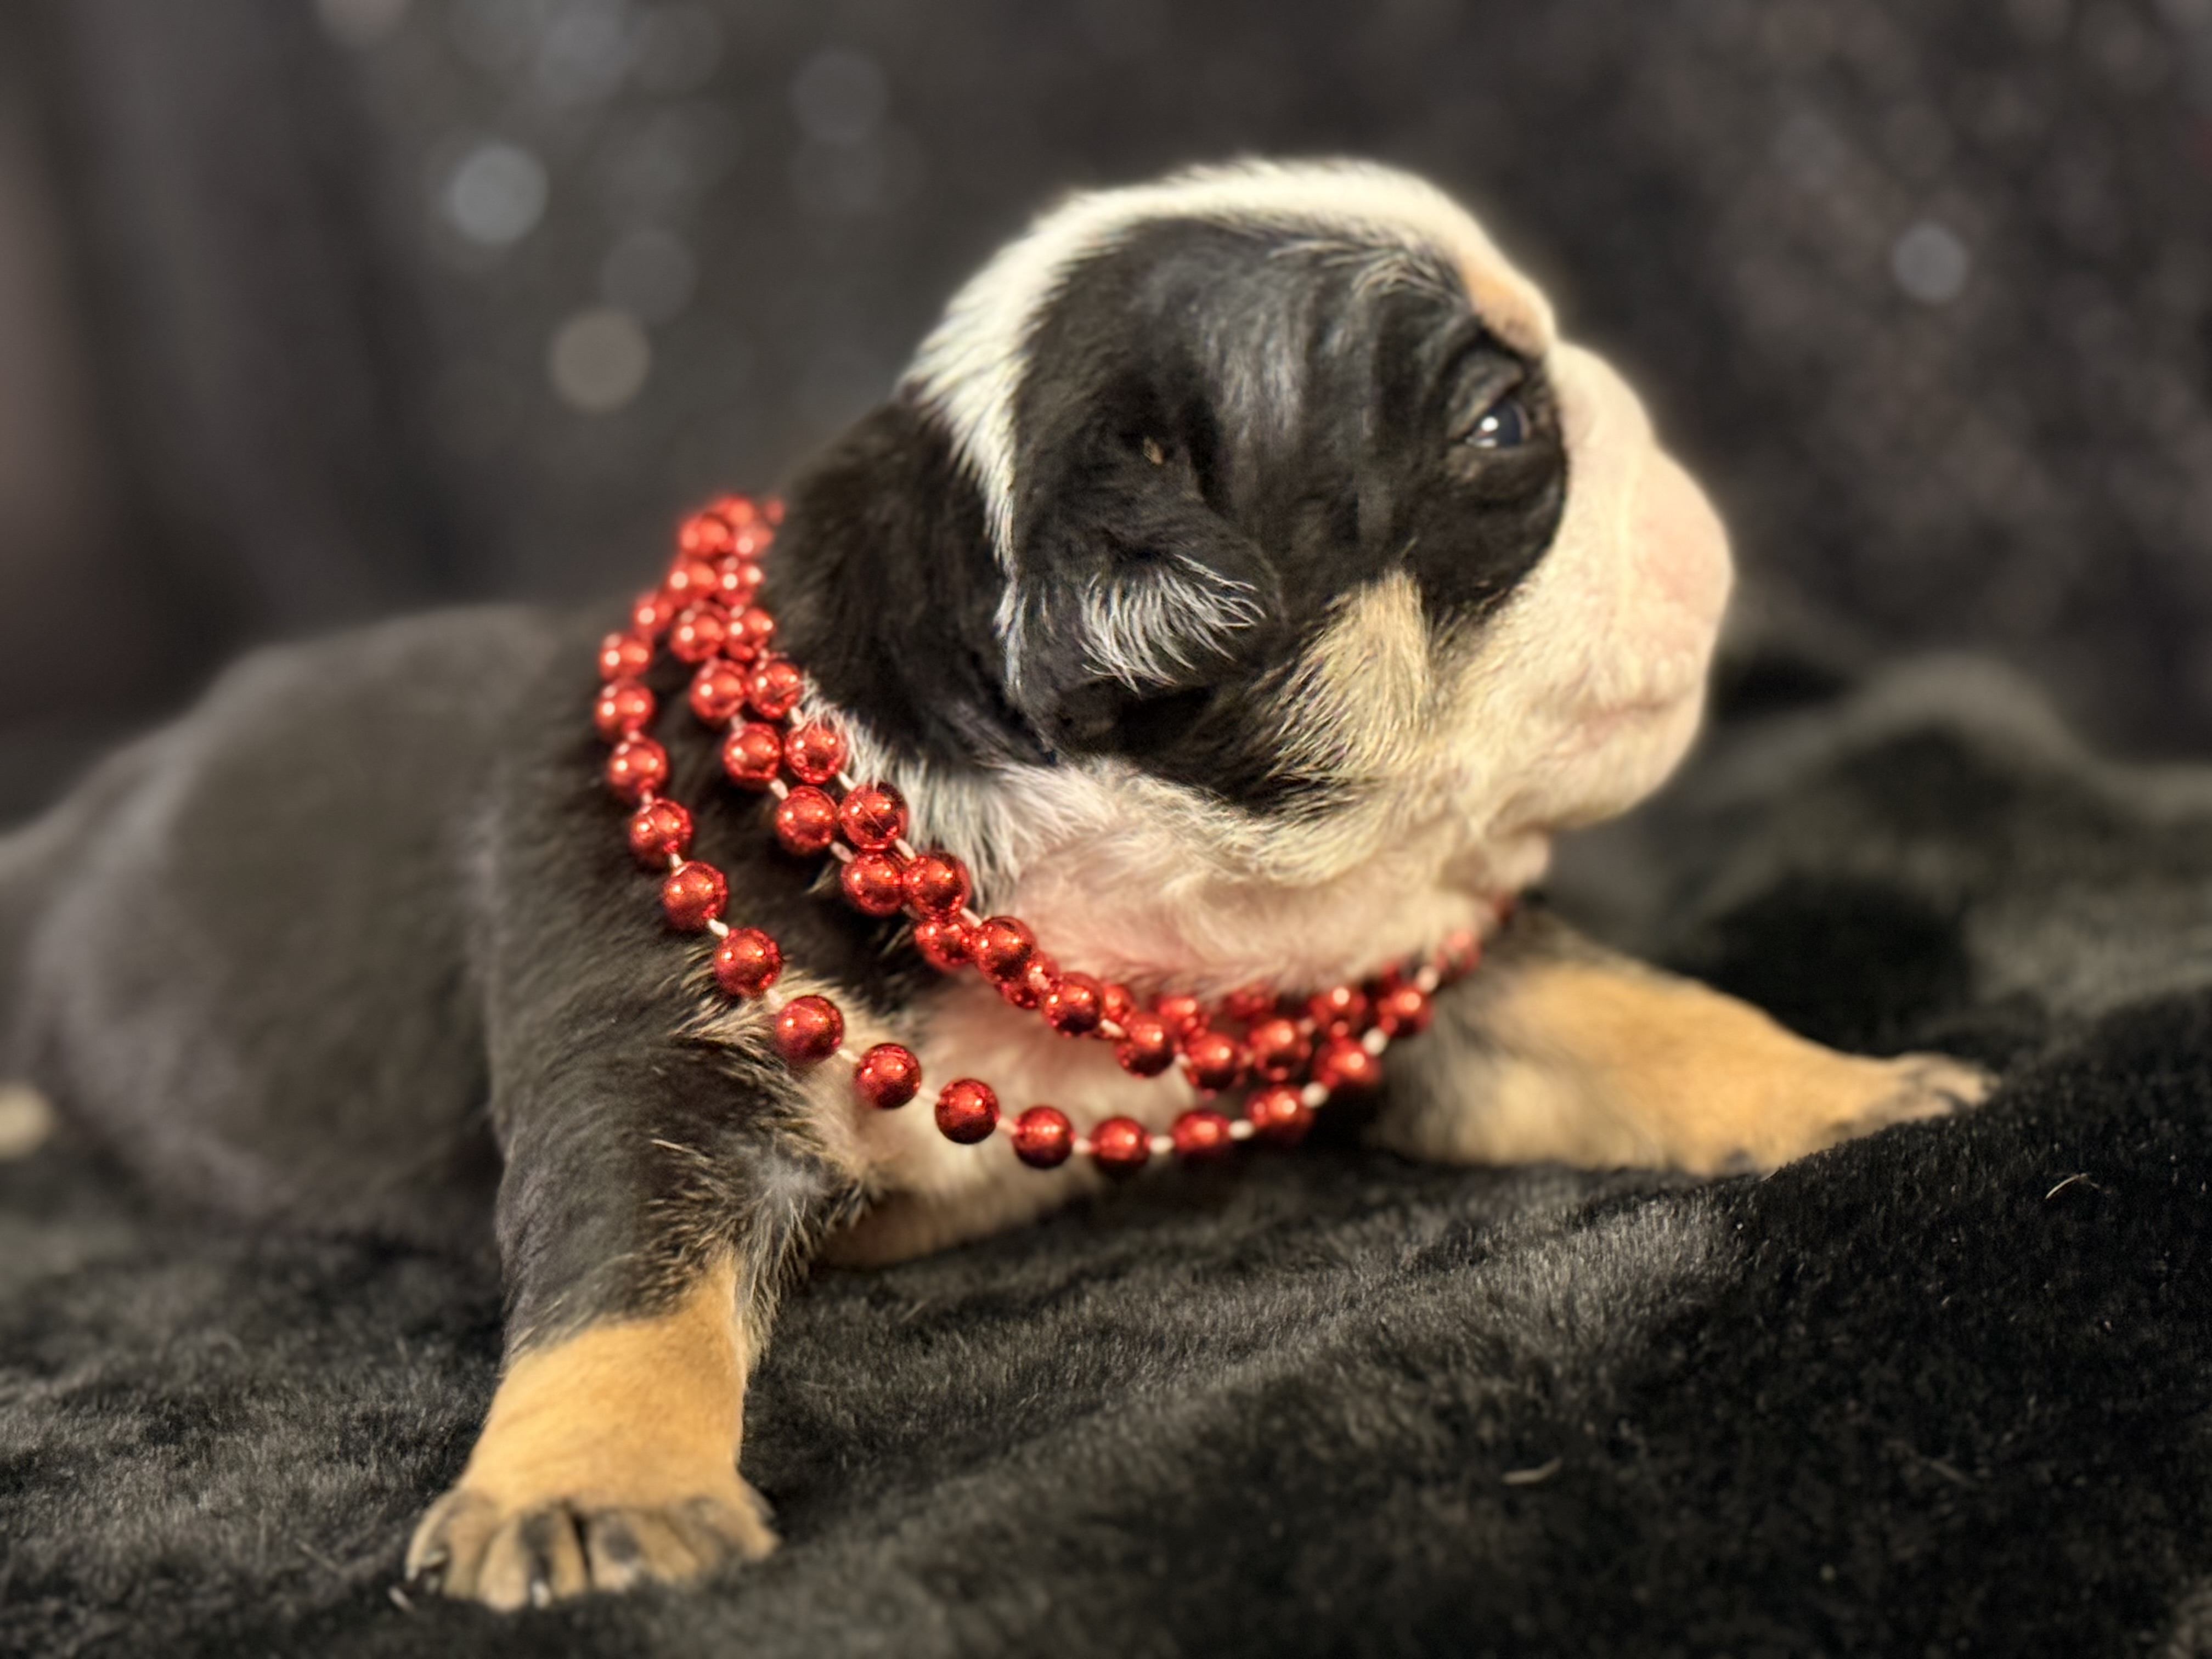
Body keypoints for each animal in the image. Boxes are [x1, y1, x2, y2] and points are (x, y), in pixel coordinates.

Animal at [0, 159, 1988, 1609]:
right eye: (1506, 433)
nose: (1642, 413)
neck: (1088, 894)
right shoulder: (645, 1061)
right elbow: (626, 1277)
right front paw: (586, 1489)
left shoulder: (1420, 976)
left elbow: (1627, 1014)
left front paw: (1844, 1090)